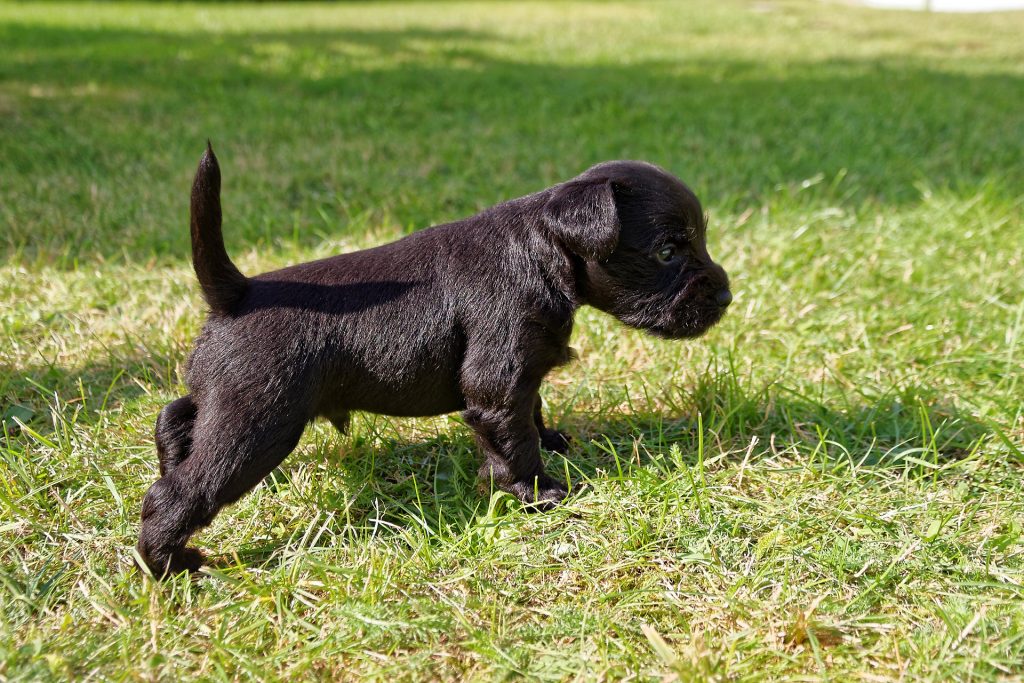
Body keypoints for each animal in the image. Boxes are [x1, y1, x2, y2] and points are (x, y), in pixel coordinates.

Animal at [138, 144, 729, 577]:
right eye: (668, 252)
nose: (725, 297)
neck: (544, 248)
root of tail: (236, 293)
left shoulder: (523, 370)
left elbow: (533, 408)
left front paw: (554, 441)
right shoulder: (498, 381)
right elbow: (513, 438)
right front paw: (539, 493)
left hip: (228, 399)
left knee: (175, 416)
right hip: (258, 423)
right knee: (179, 490)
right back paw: (171, 564)